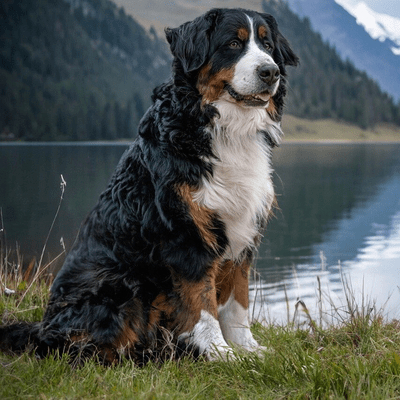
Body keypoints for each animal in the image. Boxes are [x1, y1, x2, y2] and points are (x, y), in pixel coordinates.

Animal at [0, 7, 298, 362]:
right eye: (233, 43)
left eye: (267, 45)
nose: (270, 71)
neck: (225, 130)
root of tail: (43, 328)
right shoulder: (186, 236)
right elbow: (203, 305)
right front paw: (219, 353)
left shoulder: (243, 234)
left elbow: (237, 305)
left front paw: (249, 349)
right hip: (120, 284)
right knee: (83, 349)